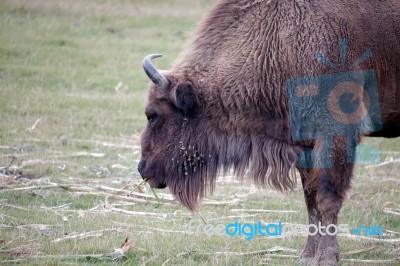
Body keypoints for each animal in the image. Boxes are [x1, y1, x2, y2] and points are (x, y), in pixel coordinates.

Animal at [138, 1, 400, 264]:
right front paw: (307, 256)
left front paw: (327, 257)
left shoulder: (335, 137)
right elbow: (311, 199)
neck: (279, 45)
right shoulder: (305, 147)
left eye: (153, 114)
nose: (142, 169)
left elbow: (327, 198)